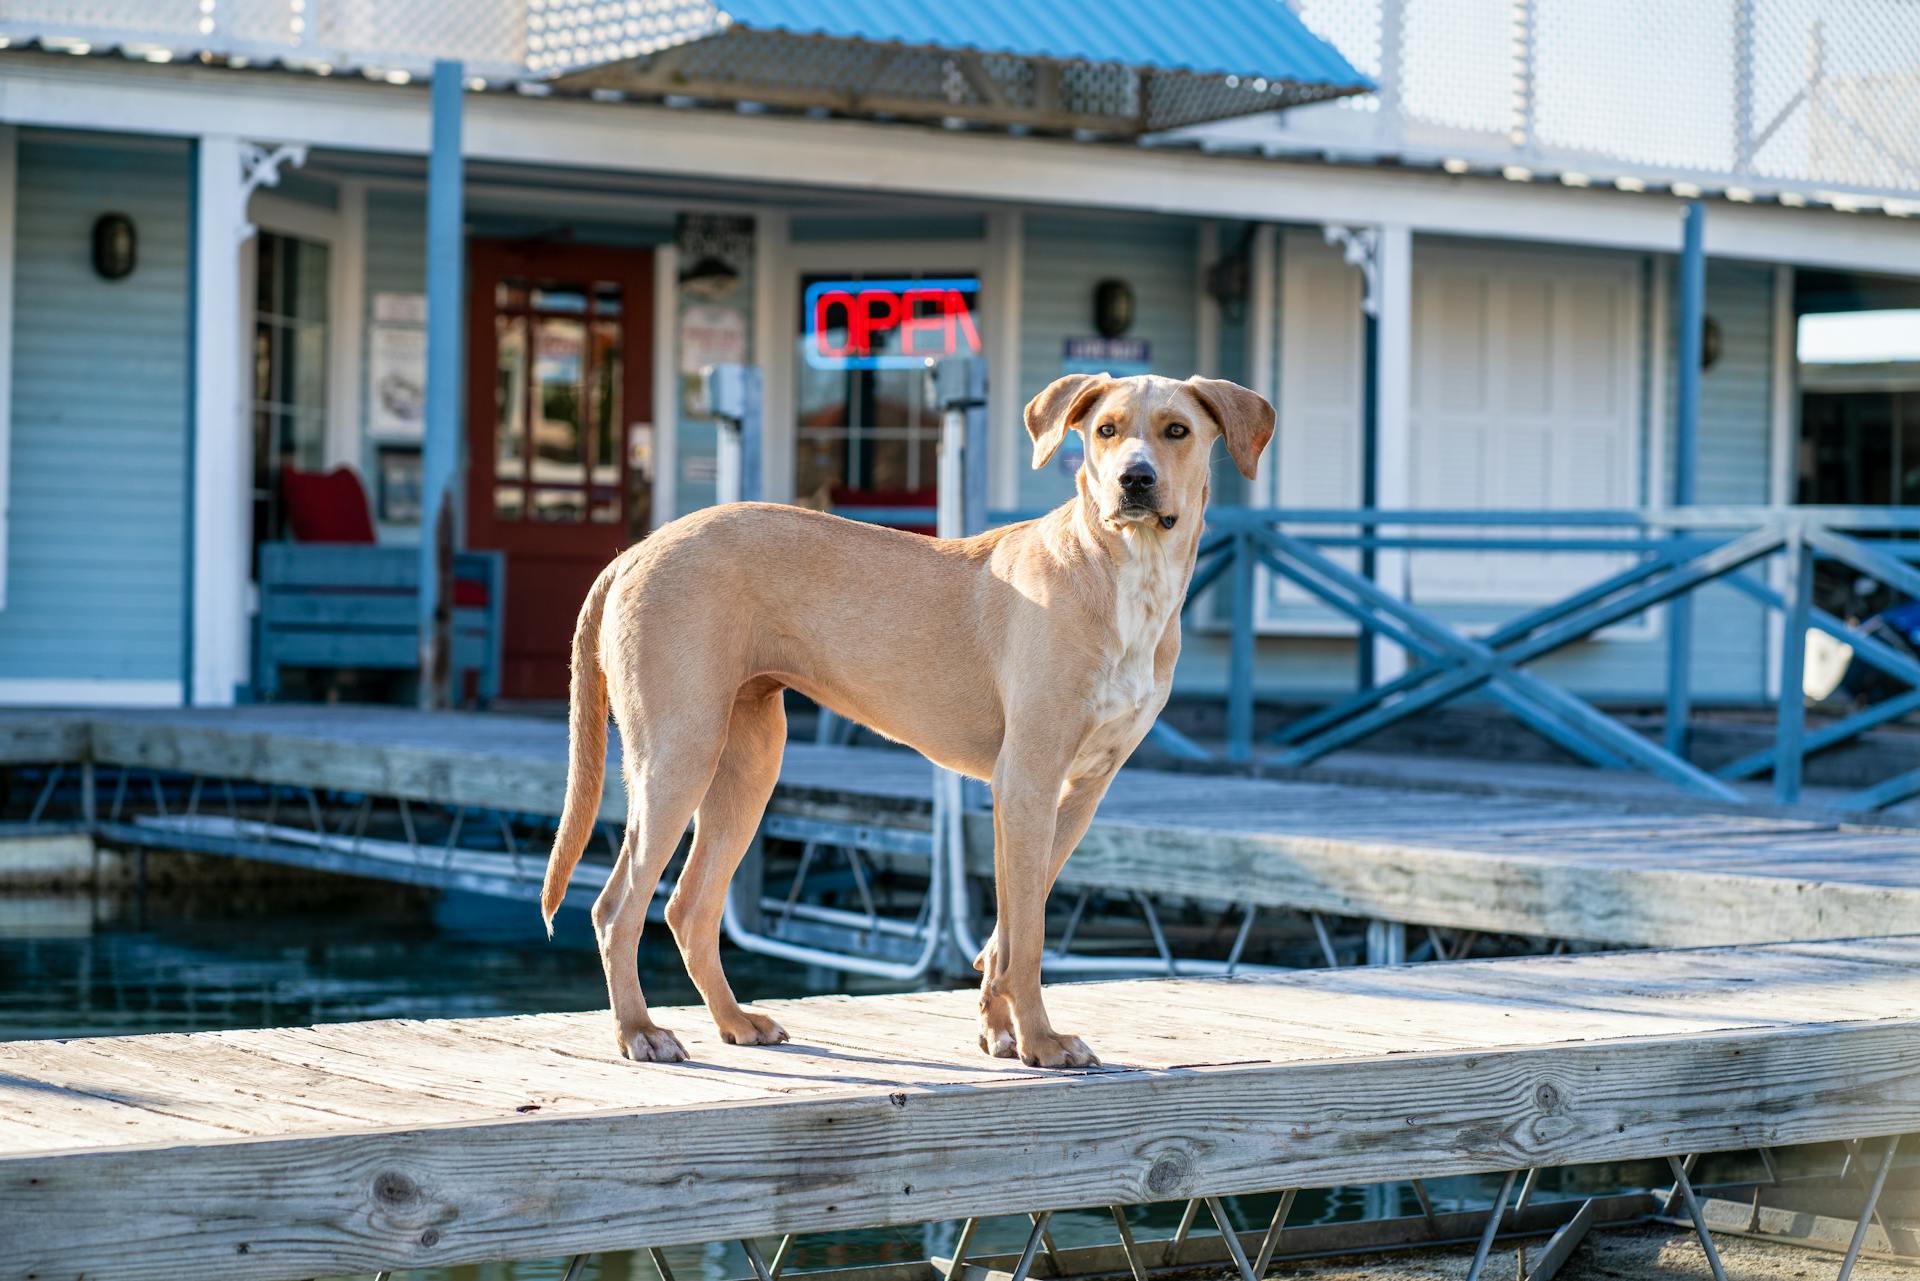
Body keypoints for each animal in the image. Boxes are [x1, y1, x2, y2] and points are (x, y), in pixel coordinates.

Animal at [549, 372, 1274, 1075]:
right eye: (1106, 430)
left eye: (1177, 430)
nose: (1134, 480)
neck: (1124, 573)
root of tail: (637, 551)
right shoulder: (1028, 780)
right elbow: (1030, 935)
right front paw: (1042, 1042)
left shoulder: (1075, 790)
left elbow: (1013, 922)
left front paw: (999, 1030)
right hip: (678, 753)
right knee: (617, 907)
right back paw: (640, 1032)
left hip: (748, 764)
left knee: (689, 907)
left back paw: (735, 1022)